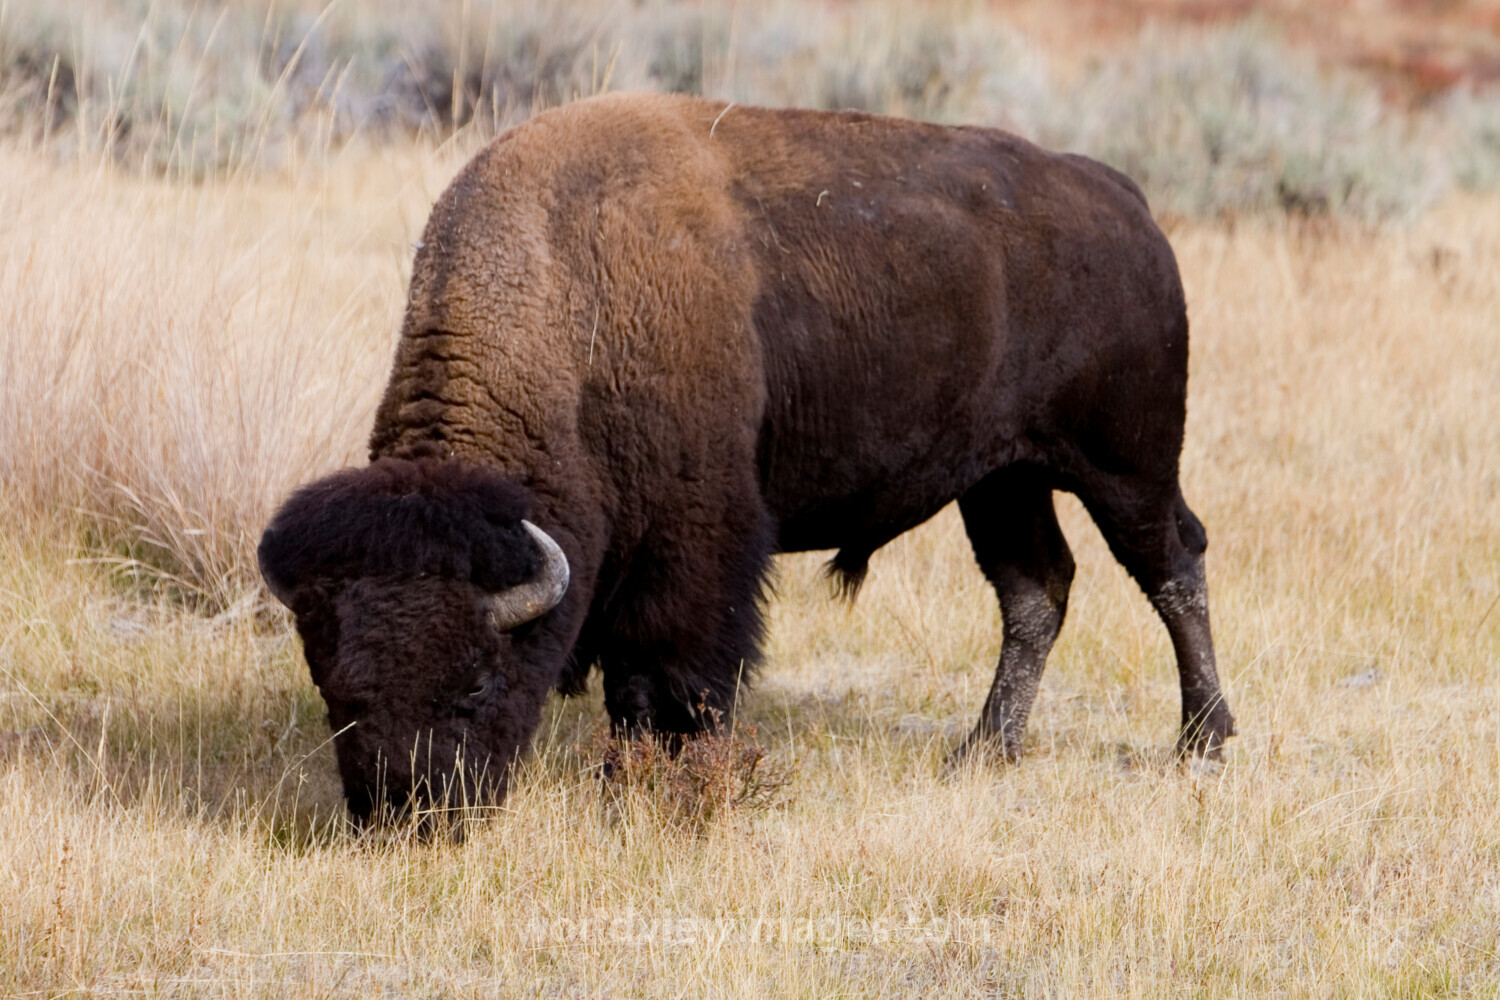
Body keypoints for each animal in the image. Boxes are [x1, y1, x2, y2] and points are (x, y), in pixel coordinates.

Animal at [258, 92, 1235, 822]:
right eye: (336, 695)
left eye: (472, 686)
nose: (406, 814)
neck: (573, 297)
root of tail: (1122, 200)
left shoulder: (698, 544)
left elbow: (668, 673)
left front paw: (662, 787)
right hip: (1002, 481)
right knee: (1036, 590)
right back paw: (982, 753)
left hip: (1124, 463)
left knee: (1172, 566)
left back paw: (1204, 744)